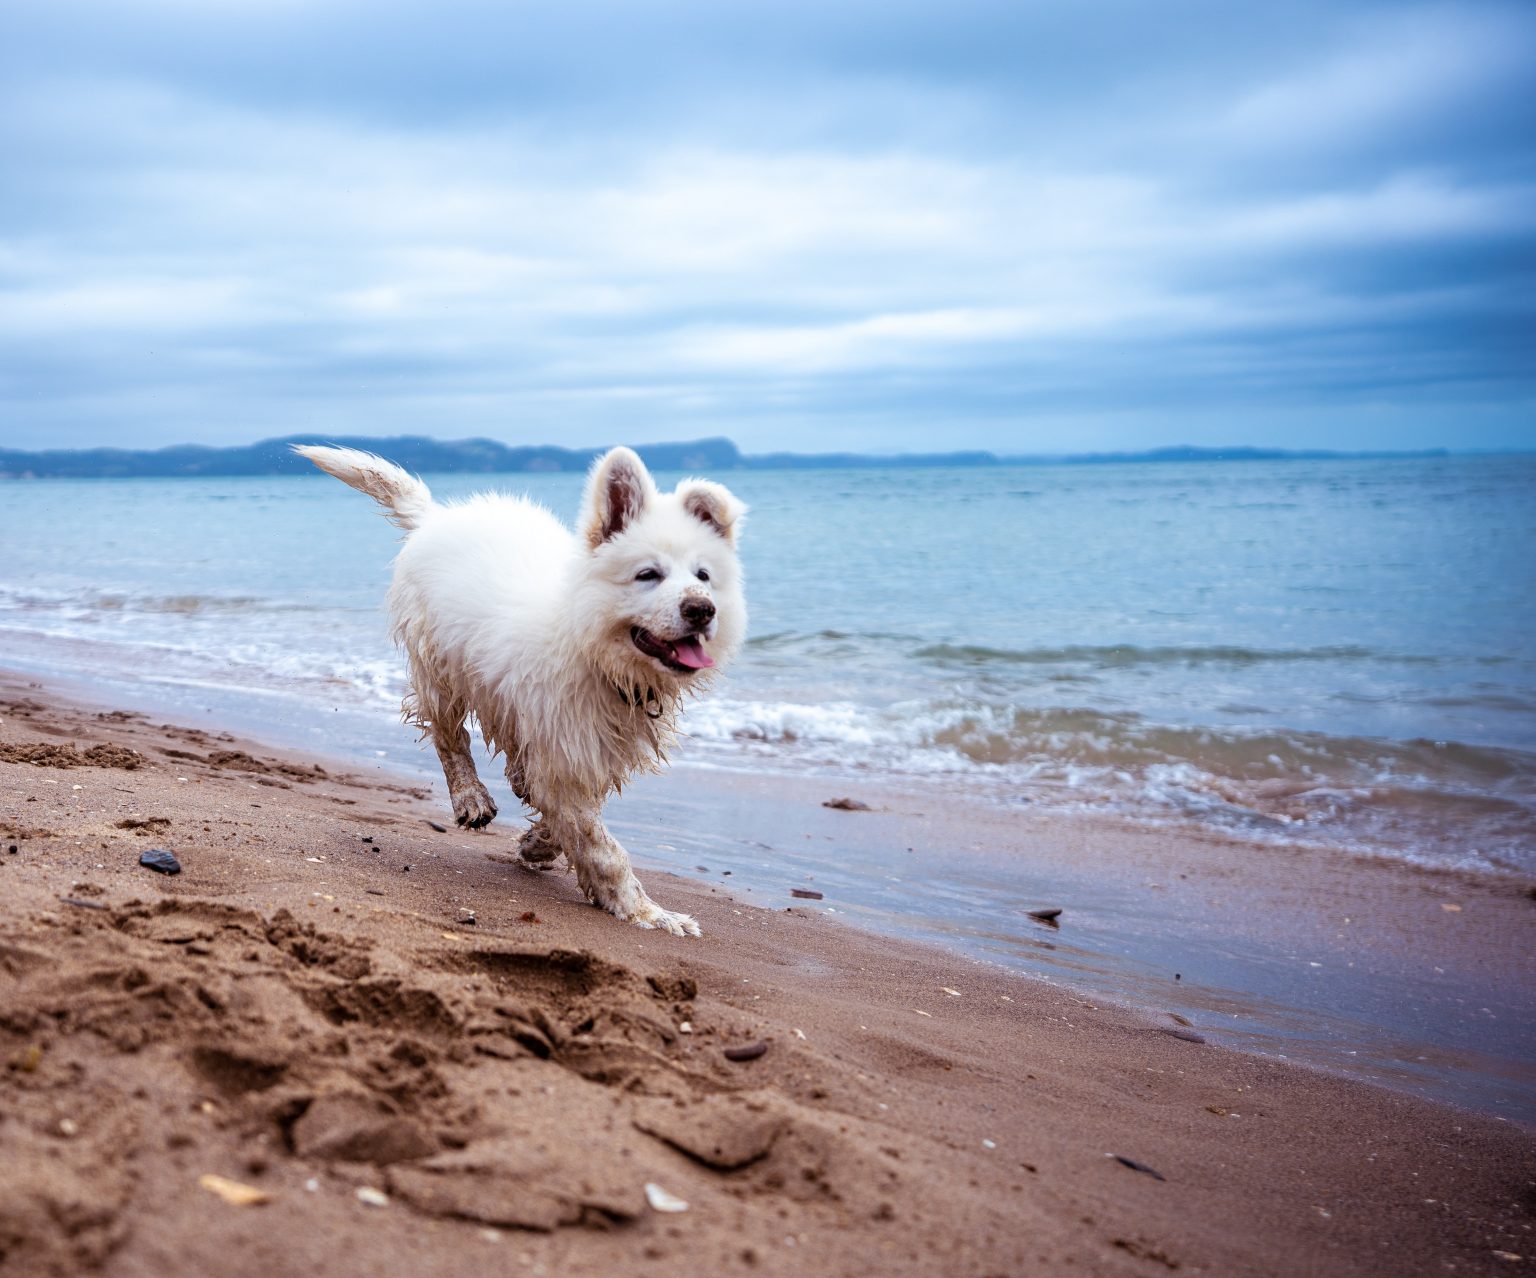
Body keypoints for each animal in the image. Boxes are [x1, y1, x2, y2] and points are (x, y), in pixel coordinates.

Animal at [293, 445, 743, 933]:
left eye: (703, 575)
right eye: (648, 574)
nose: (701, 609)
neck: (592, 648)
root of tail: (436, 516)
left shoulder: (582, 749)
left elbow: (570, 821)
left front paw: (538, 843)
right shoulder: (564, 747)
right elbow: (604, 848)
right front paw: (649, 913)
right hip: (439, 667)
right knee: (449, 737)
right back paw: (471, 796)